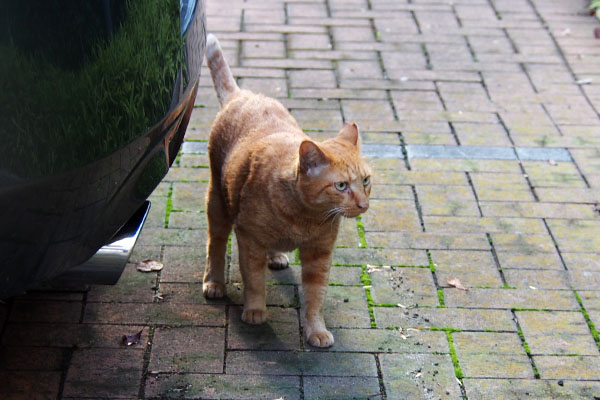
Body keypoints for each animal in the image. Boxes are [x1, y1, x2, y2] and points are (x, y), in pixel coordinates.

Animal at [203, 33, 370, 346]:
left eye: (365, 181)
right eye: (341, 185)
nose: (363, 205)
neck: (304, 217)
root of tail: (242, 94)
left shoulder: (319, 254)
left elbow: (315, 297)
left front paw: (316, 330)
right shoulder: (249, 238)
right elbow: (254, 280)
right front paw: (255, 311)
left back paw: (277, 256)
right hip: (217, 202)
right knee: (215, 244)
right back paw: (214, 282)